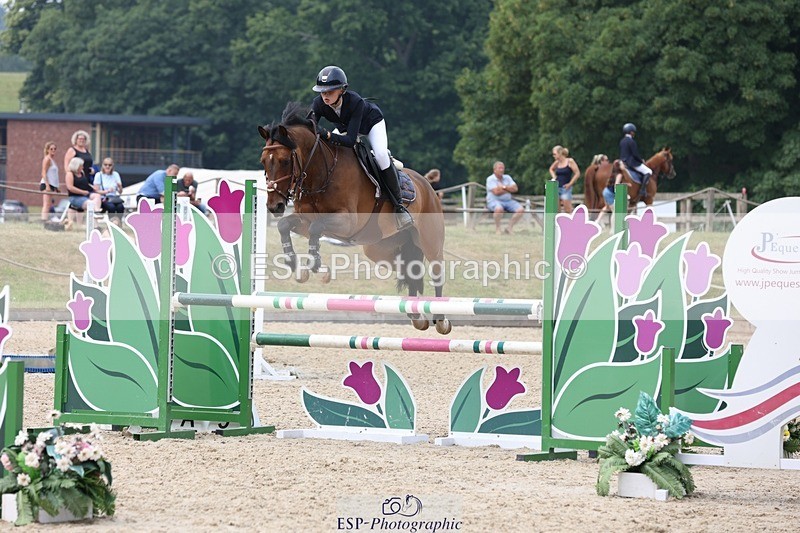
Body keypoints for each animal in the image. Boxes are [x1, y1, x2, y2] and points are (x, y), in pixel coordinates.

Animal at [258, 102, 451, 334]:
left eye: (285, 161)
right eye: (263, 162)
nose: (274, 206)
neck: (321, 173)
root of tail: (427, 186)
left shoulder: (346, 222)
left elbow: (316, 228)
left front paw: (314, 264)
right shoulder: (305, 219)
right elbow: (286, 225)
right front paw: (294, 263)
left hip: (430, 242)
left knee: (436, 272)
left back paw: (441, 320)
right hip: (379, 248)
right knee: (408, 271)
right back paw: (416, 316)